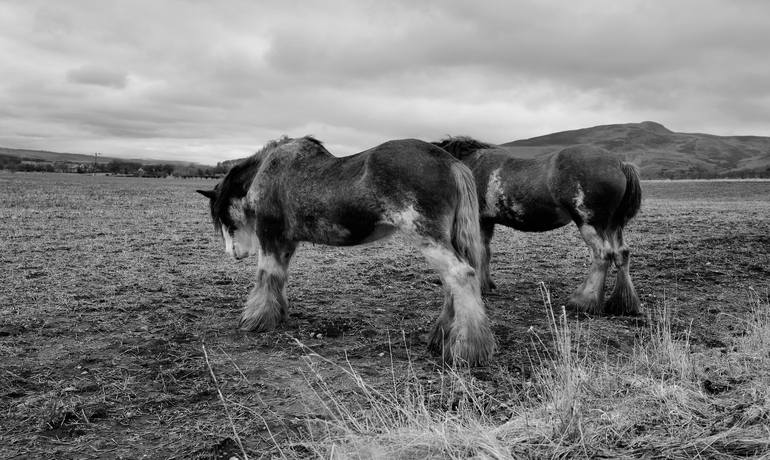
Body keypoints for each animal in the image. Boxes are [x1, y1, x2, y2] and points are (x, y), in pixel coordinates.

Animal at [198, 135, 496, 364]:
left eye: (222, 215)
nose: (233, 254)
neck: (272, 172)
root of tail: (450, 162)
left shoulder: (270, 237)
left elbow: (266, 276)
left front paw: (256, 319)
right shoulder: (286, 242)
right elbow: (279, 278)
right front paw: (277, 314)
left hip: (428, 238)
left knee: (461, 276)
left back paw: (466, 349)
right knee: (451, 283)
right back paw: (442, 337)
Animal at [432, 137, 640, 316]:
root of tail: (620, 164)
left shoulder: (479, 221)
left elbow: (479, 253)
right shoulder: (487, 222)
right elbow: (486, 252)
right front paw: (486, 285)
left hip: (590, 224)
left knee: (602, 256)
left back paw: (583, 302)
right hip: (613, 226)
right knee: (621, 253)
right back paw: (623, 304)